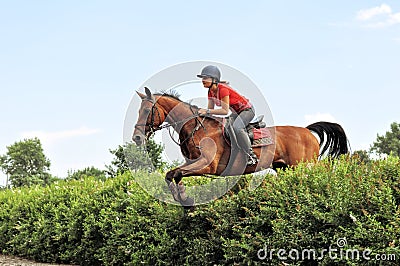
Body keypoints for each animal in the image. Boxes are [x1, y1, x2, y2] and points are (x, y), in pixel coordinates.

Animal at [133, 88, 348, 209]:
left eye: (147, 110)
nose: (137, 137)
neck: (195, 127)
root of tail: (307, 131)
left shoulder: (206, 164)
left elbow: (173, 173)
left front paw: (185, 199)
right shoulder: (193, 163)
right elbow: (173, 174)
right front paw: (184, 199)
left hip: (303, 165)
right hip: (284, 168)